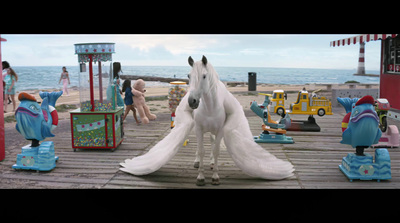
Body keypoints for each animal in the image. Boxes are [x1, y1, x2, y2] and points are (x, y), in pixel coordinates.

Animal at [119, 56, 294, 186]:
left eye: (204, 76)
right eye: (188, 76)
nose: (192, 102)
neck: (210, 108)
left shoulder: (221, 130)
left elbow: (215, 151)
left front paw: (215, 176)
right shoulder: (198, 129)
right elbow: (201, 150)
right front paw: (201, 177)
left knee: (212, 142)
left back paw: (210, 163)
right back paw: (198, 162)